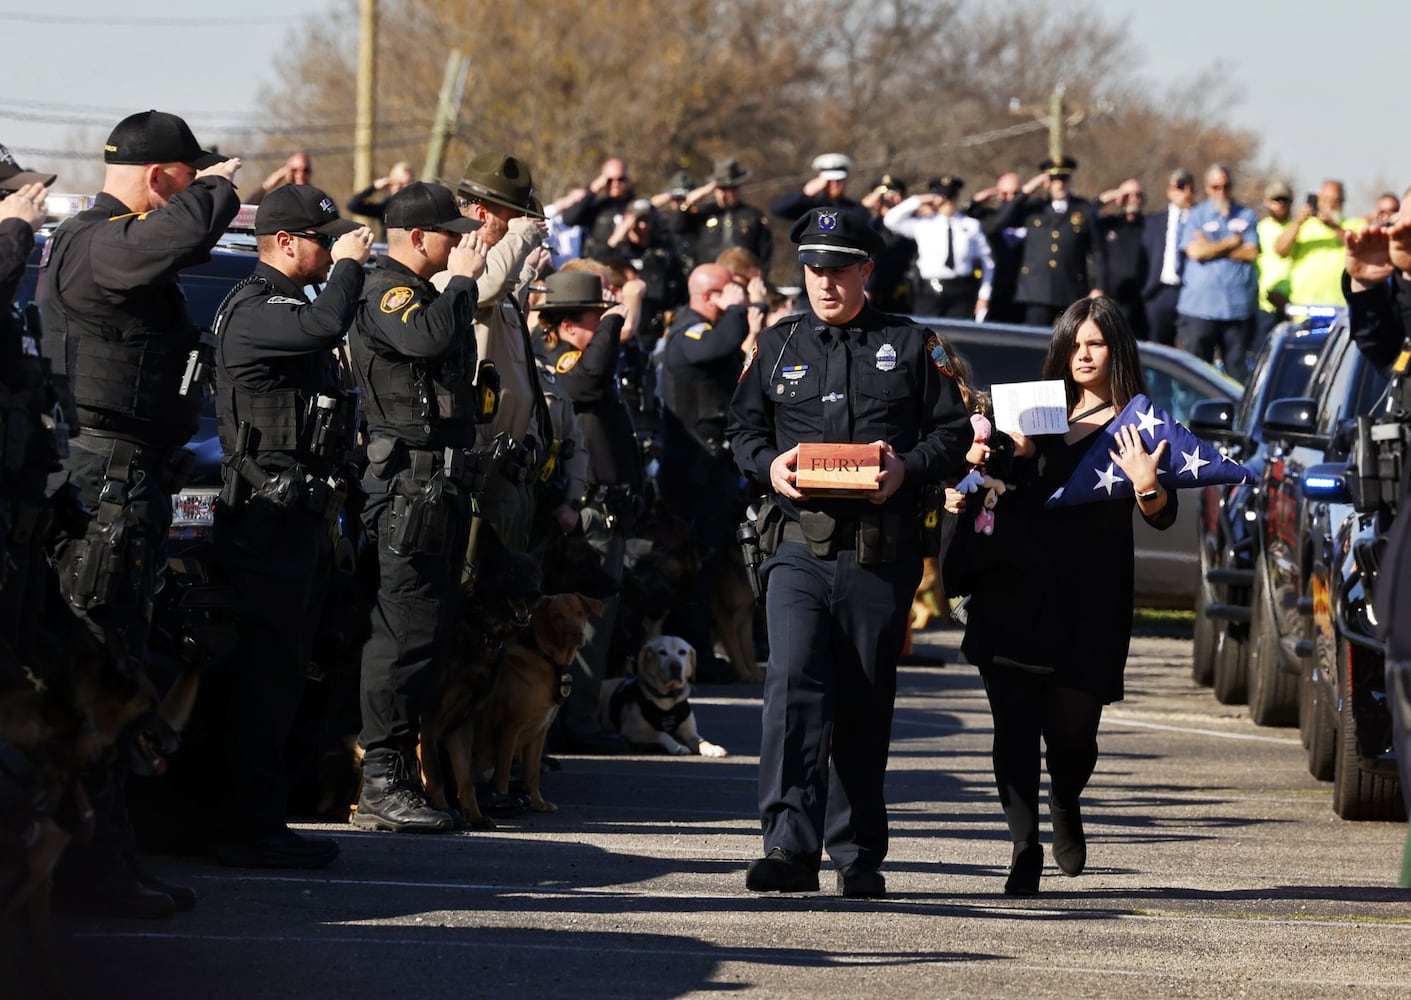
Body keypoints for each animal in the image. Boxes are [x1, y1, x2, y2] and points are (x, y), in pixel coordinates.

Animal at [468, 589, 601, 818]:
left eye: (580, 613)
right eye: (557, 616)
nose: (577, 634)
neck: (544, 657)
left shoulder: (540, 732)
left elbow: (532, 774)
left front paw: (538, 803)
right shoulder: (509, 728)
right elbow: (503, 774)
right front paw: (504, 798)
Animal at [598, 631, 728, 755]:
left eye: (682, 652)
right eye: (662, 652)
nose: (675, 666)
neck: (668, 698)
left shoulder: (690, 733)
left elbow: (702, 741)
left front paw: (713, 748)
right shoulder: (631, 732)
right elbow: (661, 733)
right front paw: (677, 746)